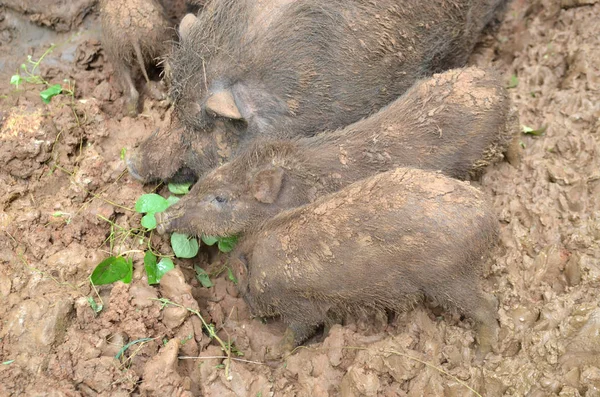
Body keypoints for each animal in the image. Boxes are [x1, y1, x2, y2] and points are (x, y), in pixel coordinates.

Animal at [227, 167, 500, 356]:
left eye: (242, 289)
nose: (252, 315)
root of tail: (489, 215)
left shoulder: (298, 304)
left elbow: (300, 328)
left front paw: (274, 353)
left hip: (450, 277)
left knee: (488, 306)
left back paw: (479, 354)